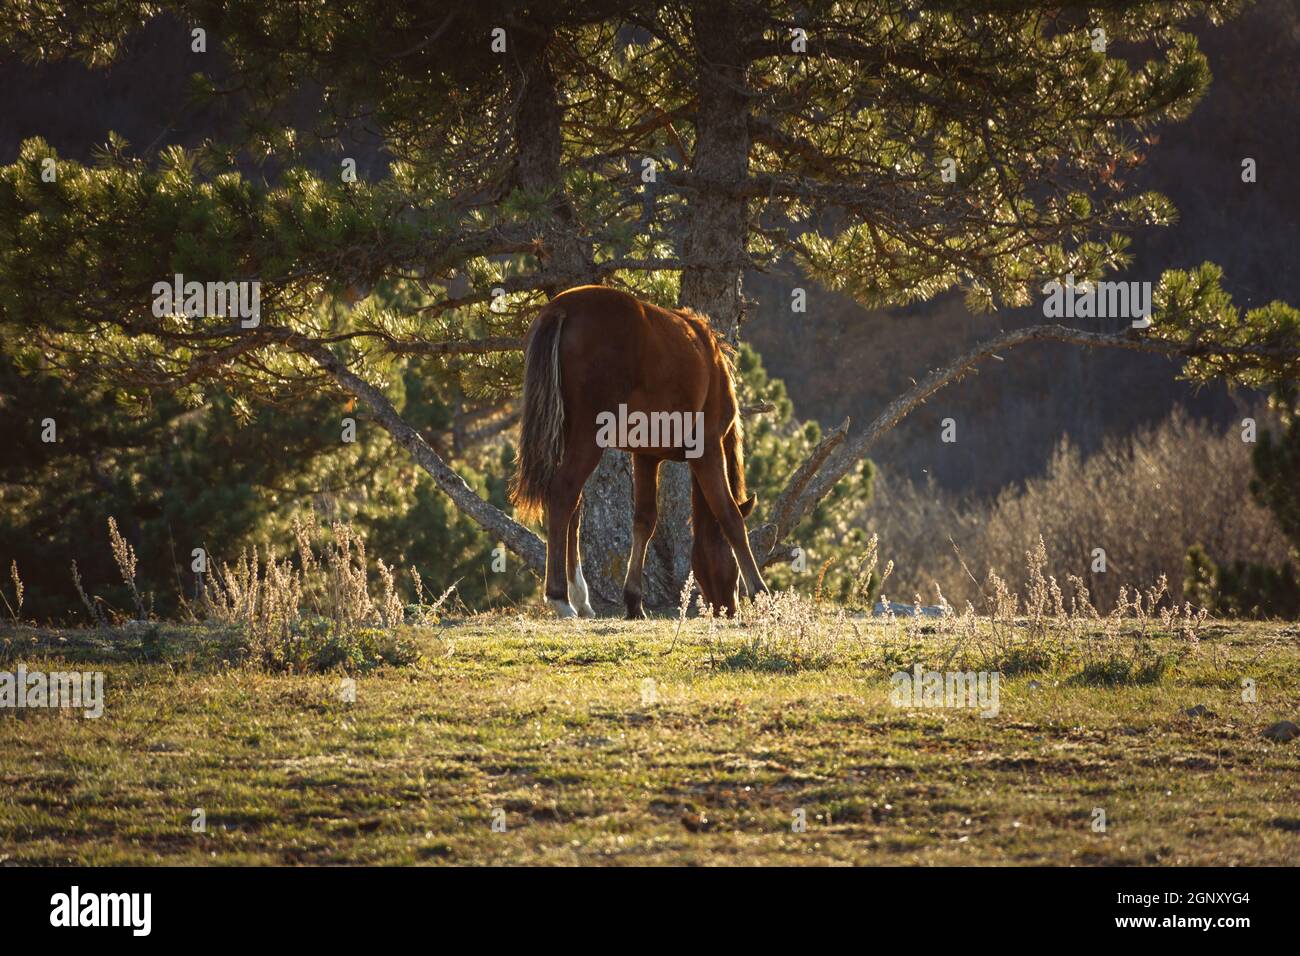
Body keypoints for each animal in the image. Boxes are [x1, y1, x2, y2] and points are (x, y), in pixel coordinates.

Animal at [509, 285, 769, 618]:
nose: (728, 608)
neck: (710, 365)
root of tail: (561, 309)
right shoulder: (708, 450)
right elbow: (729, 516)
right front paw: (761, 592)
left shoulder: (646, 456)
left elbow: (644, 521)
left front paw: (634, 601)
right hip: (588, 439)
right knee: (563, 493)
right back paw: (561, 597)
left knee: (572, 508)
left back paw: (579, 597)